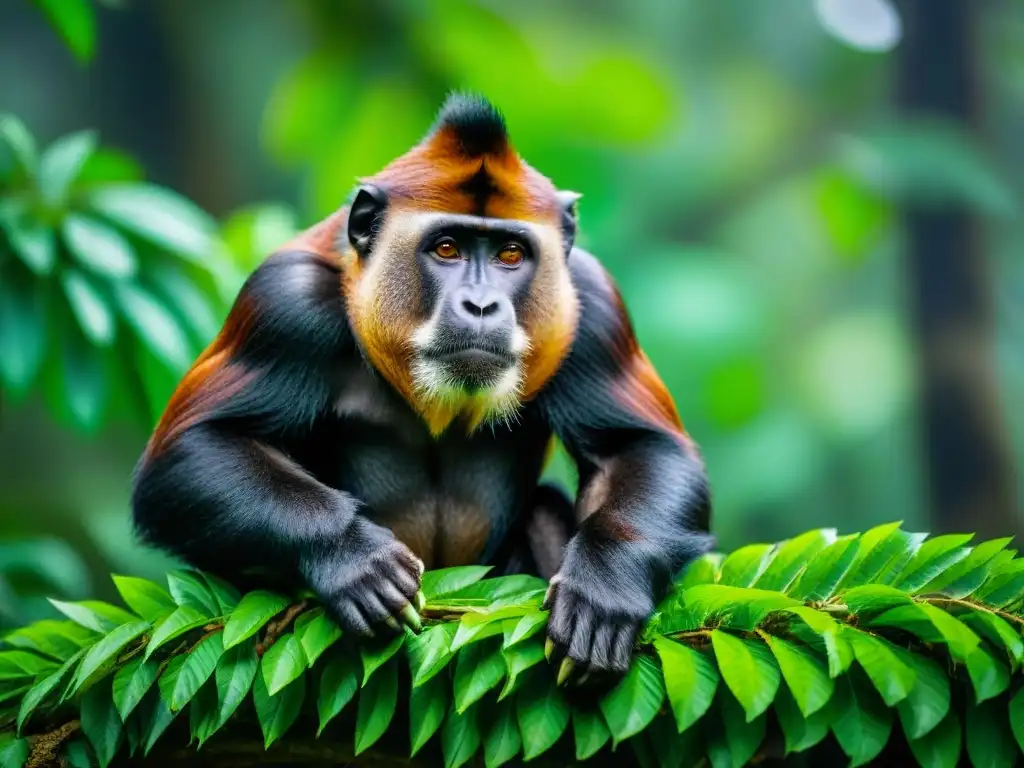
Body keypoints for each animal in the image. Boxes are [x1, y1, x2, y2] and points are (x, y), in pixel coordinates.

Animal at [132, 93, 712, 688]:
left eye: (510, 254)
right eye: (447, 248)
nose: (480, 305)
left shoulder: (593, 303)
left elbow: (636, 446)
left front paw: (606, 586)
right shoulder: (284, 302)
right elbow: (193, 449)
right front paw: (353, 555)